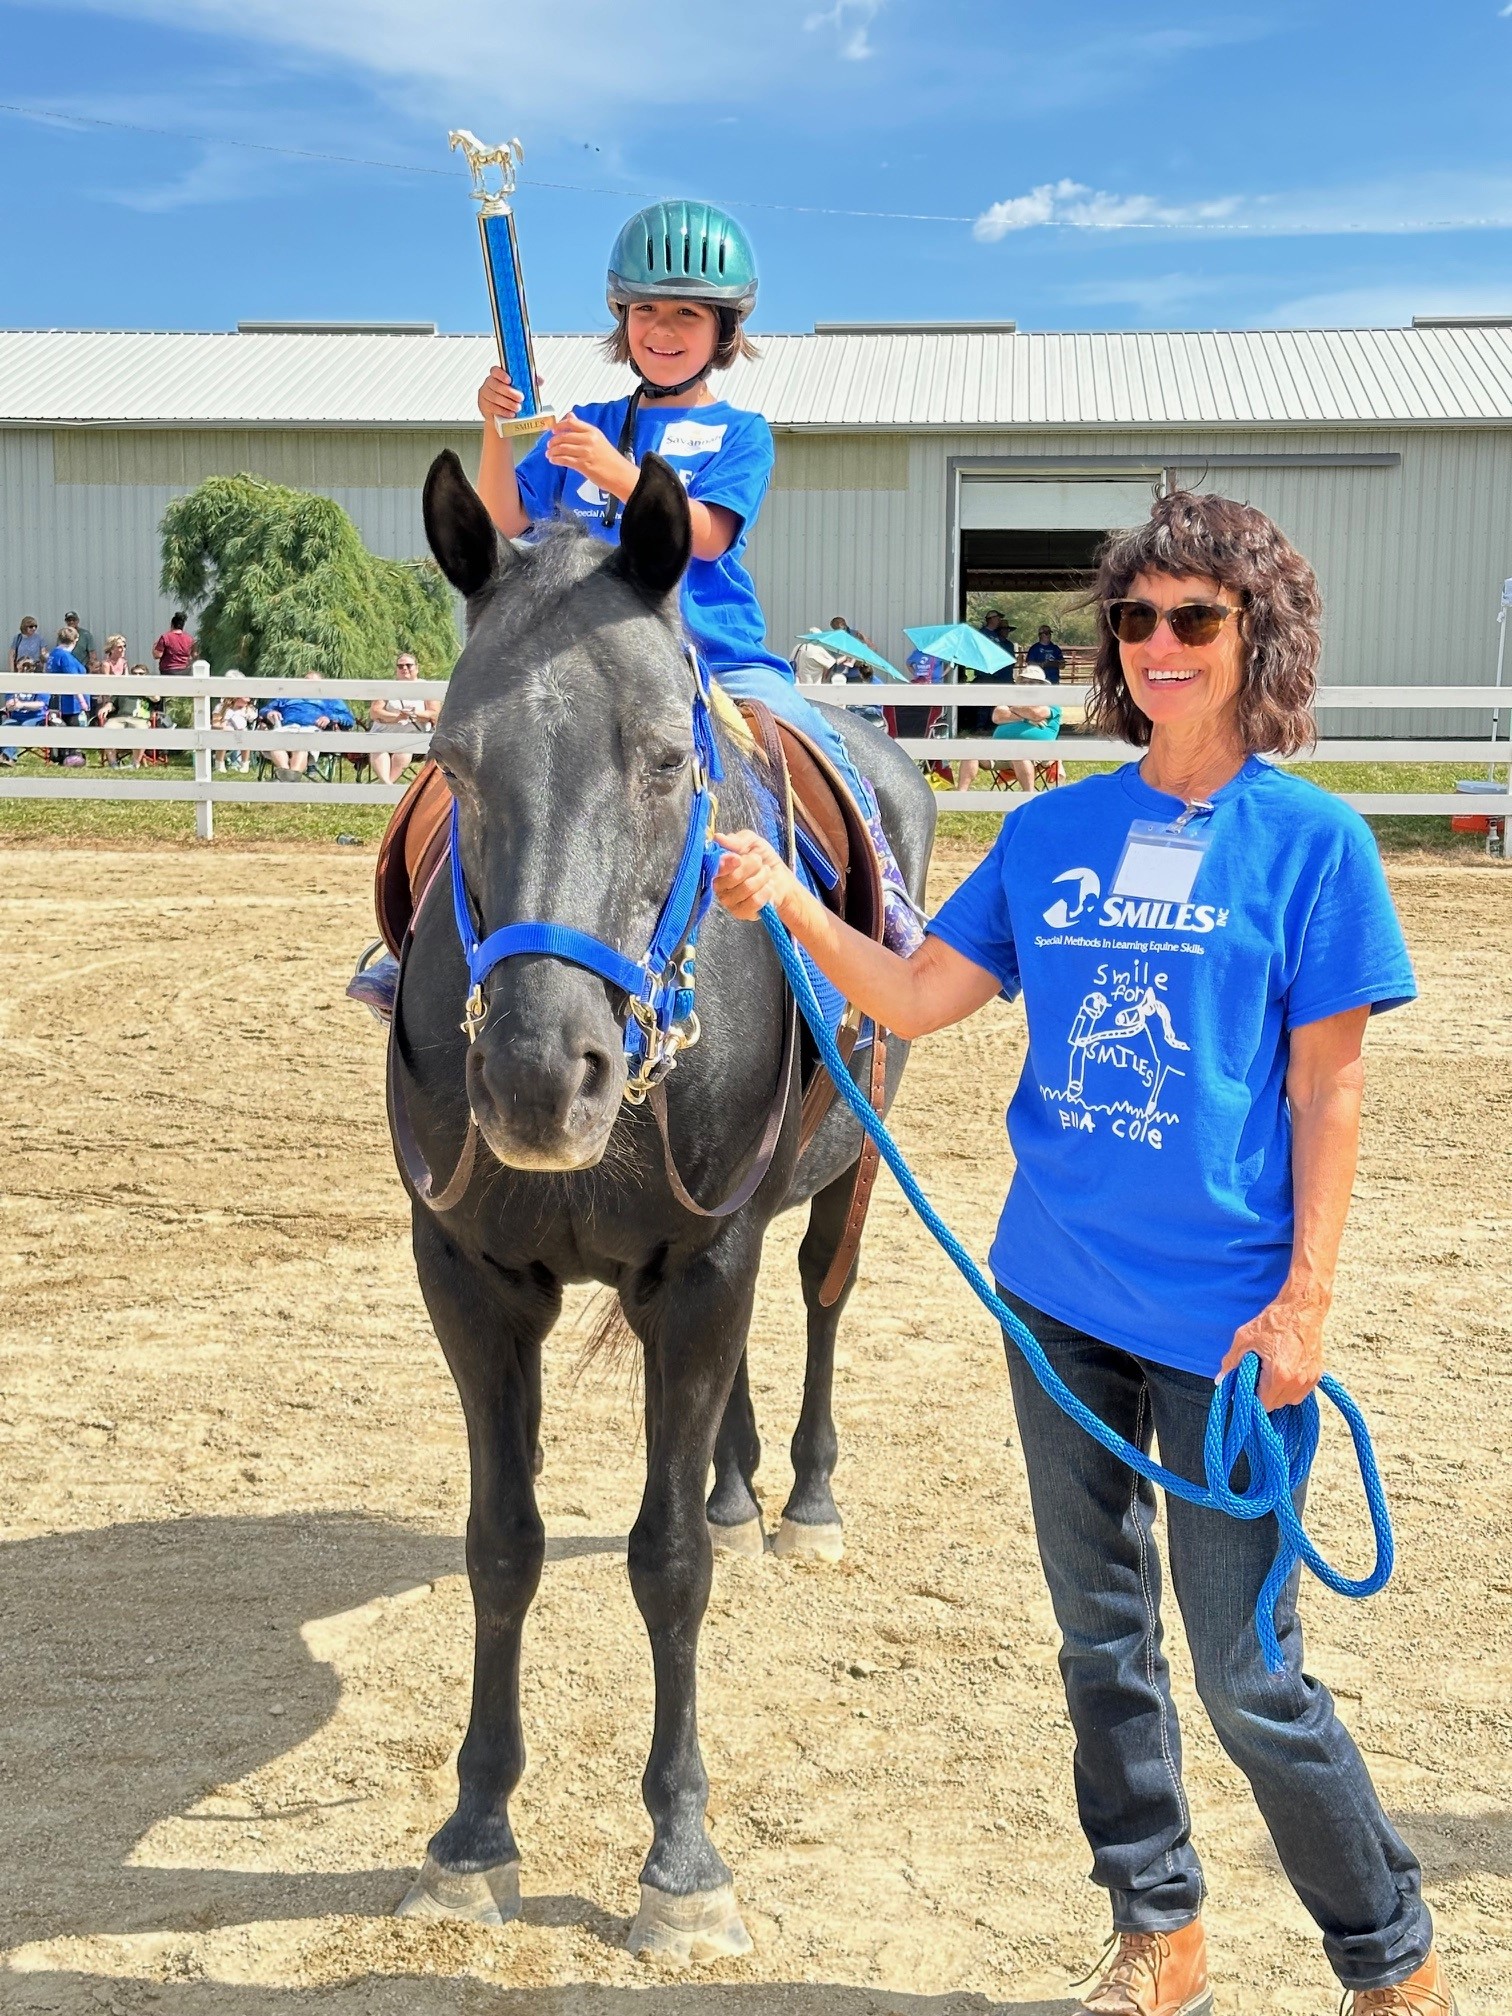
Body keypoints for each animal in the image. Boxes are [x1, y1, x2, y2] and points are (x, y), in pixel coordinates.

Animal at [387, 447, 935, 1962]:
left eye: (666, 760)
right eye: (451, 759)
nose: (536, 1074)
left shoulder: (703, 1262)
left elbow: (669, 1560)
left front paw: (682, 1857)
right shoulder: (468, 1279)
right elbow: (501, 1546)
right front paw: (472, 1832)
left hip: (842, 1176)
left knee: (817, 1304)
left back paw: (801, 1496)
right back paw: (745, 1481)